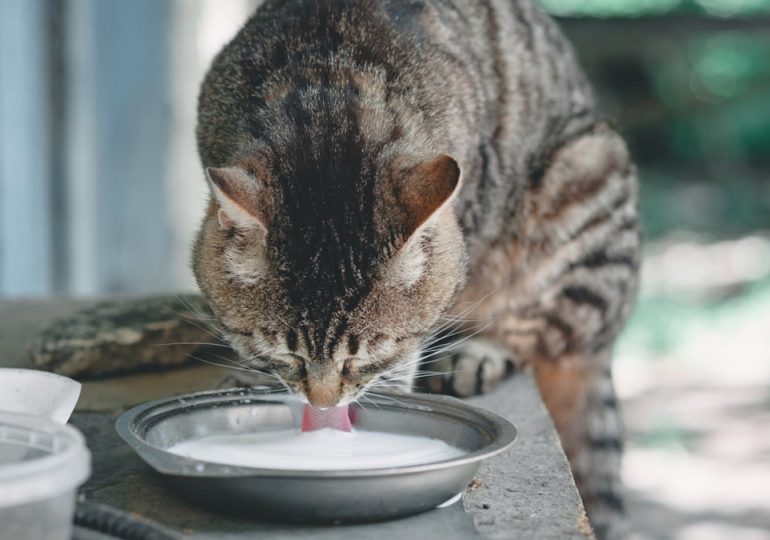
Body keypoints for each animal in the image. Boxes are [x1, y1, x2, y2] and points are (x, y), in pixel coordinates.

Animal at [190, 2, 636, 536]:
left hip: (586, 184)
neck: (326, 85)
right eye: (286, 352)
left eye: (367, 354)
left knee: (551, 329)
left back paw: (480, 351)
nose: (324, 405)